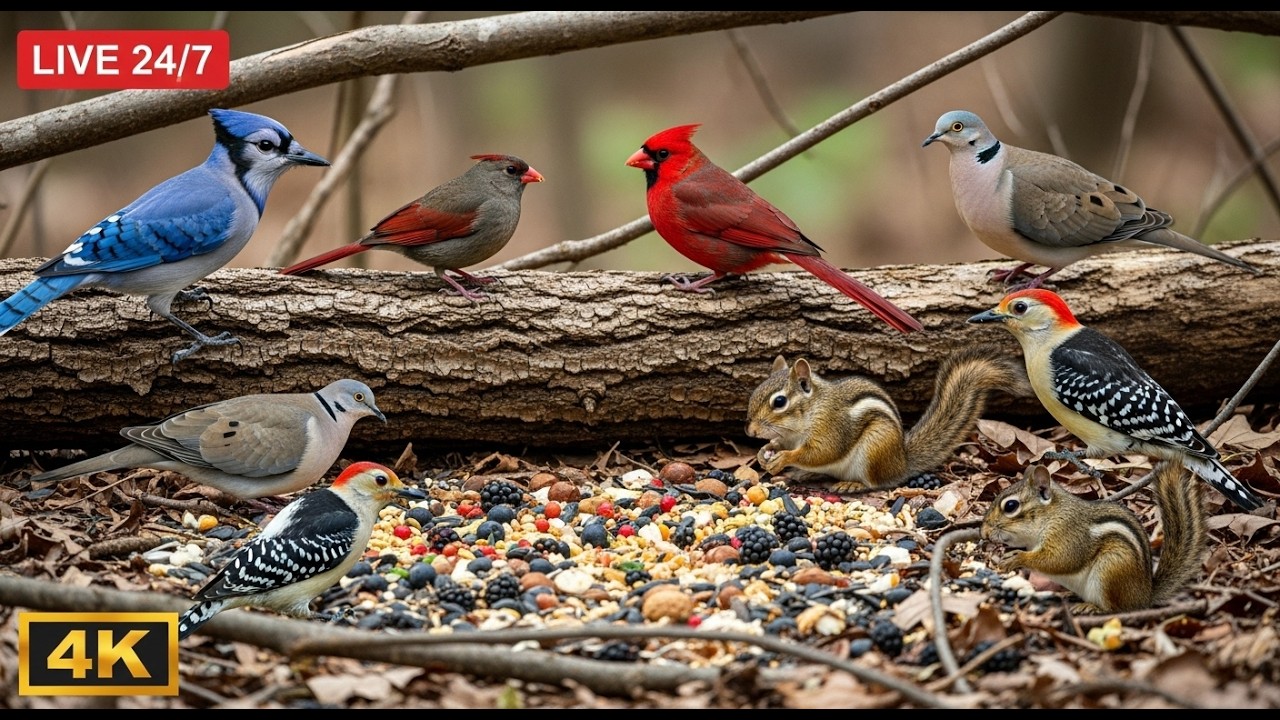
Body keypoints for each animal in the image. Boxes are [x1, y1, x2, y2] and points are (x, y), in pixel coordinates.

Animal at [746, 344, 1032, 492]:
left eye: (779, 402)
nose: (750, 431)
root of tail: (902, 462)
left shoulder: (832, 428)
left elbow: (821, 452)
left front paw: (784, 458)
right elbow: (780, 444)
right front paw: (765, 451)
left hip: (874, 448)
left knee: (875, 483)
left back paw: (851, 485)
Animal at [980, 461, 1207, 613]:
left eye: (1011, 506)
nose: (983, 532)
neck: (1052, 514)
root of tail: (1145, 595)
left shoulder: (1067, 534)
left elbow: (1060, 560)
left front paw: (1016, 558)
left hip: (1110, 569)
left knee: (1116, 609)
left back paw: (1092, 608)